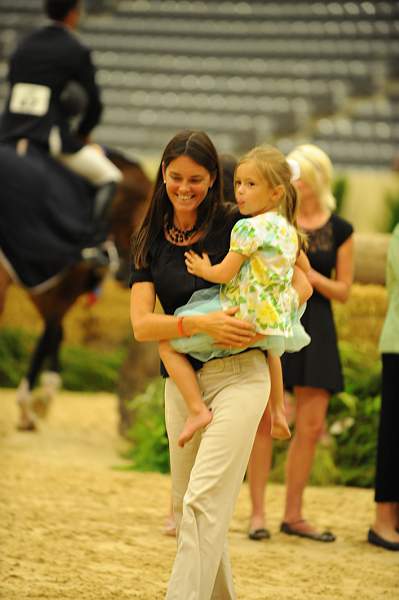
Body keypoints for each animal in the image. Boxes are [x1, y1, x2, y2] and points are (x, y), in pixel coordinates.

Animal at [0, 141, 153, 432]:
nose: (124, 273)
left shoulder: (44, 279)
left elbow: (55, 332)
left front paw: (40, 399)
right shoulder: (65, 281)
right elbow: (50, 333)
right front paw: (33, 404)